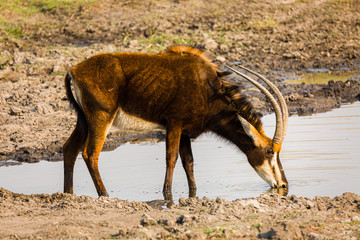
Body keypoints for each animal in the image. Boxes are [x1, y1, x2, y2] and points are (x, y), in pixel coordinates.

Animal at [63, 44, 288, 197]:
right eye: (270, 151)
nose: (283, 185)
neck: (208, 88)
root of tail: (73, 70)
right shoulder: (174, 124)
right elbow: (171, 159)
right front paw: (167, 195)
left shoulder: (185, 131)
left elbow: (189, 162)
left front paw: (192, 193)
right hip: (100, 117)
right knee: (90, 154)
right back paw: (105, 195)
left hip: (83, 120)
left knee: (69, 149)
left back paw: (69, 195)